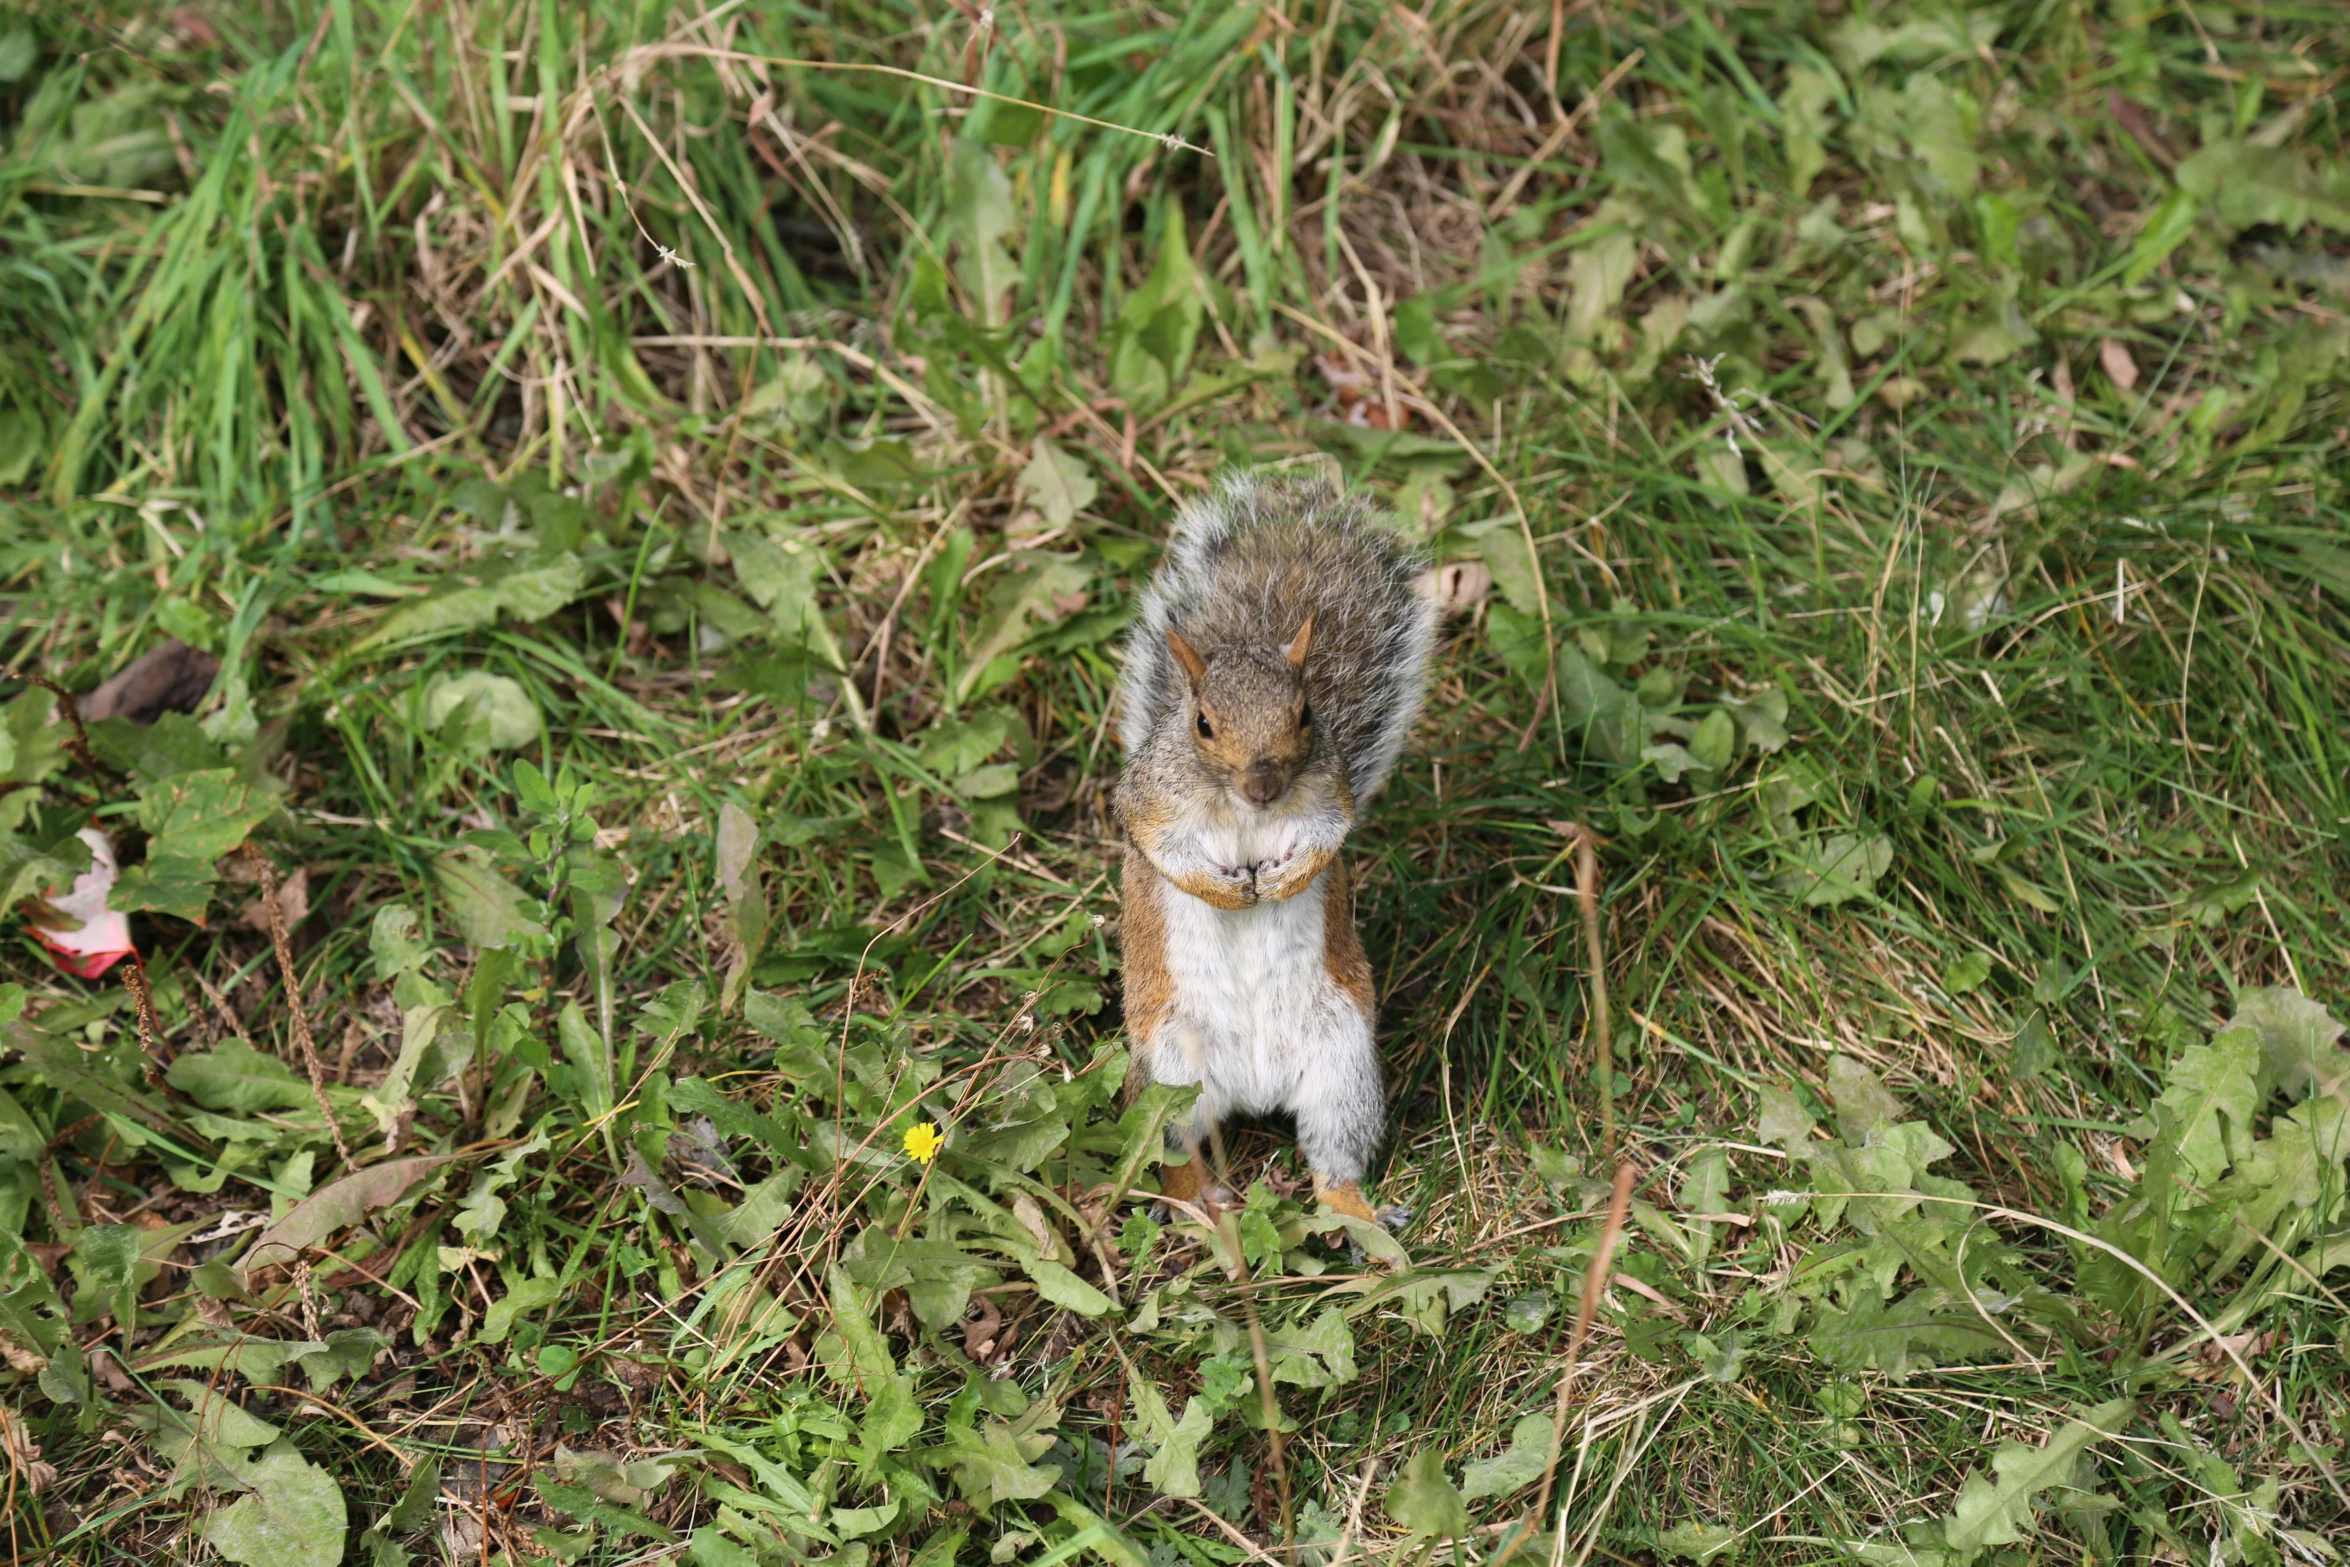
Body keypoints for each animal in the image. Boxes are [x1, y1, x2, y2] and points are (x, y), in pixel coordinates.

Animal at [1113, 472, 1428, 1231]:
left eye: (1305, 713)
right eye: (1202, 723)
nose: (1262, 783)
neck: (1245, 809)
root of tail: (1255, 1089)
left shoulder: (1329, 797)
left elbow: (1327, 839)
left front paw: (1285, 881)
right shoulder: (1148, 802)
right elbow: (1166, 853)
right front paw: (1229, 891)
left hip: (1342, 1063)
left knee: (1334, 1153)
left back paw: (1353, 1212)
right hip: (1171, 1070)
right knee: (1177, 1149)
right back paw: (1199, 1206)